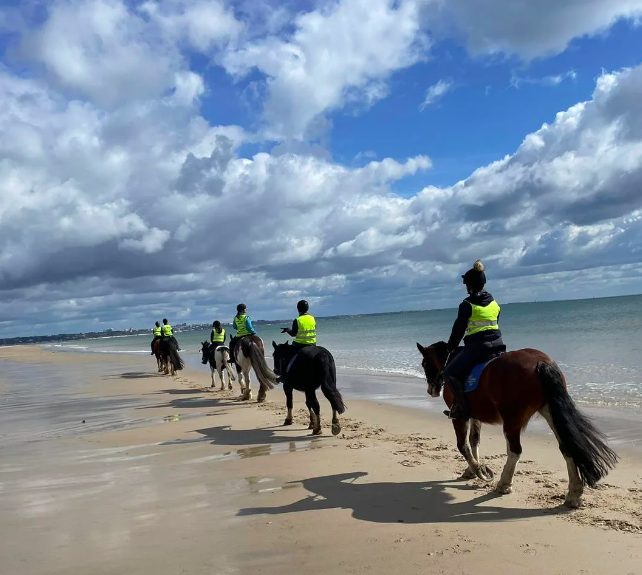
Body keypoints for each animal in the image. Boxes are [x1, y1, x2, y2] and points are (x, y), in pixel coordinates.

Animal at [416, 342, 616, 508]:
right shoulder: (474, 416)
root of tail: (541, 363)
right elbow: (474, 441)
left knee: (515, 450)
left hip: (512, 419)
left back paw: (504, 484)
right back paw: (574, 494)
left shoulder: (460, 417)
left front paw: (479, 471)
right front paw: (473, 470)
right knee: (567, 447)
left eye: (424, 363)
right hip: (550, 411)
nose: (431, 390)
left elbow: (463, 445)